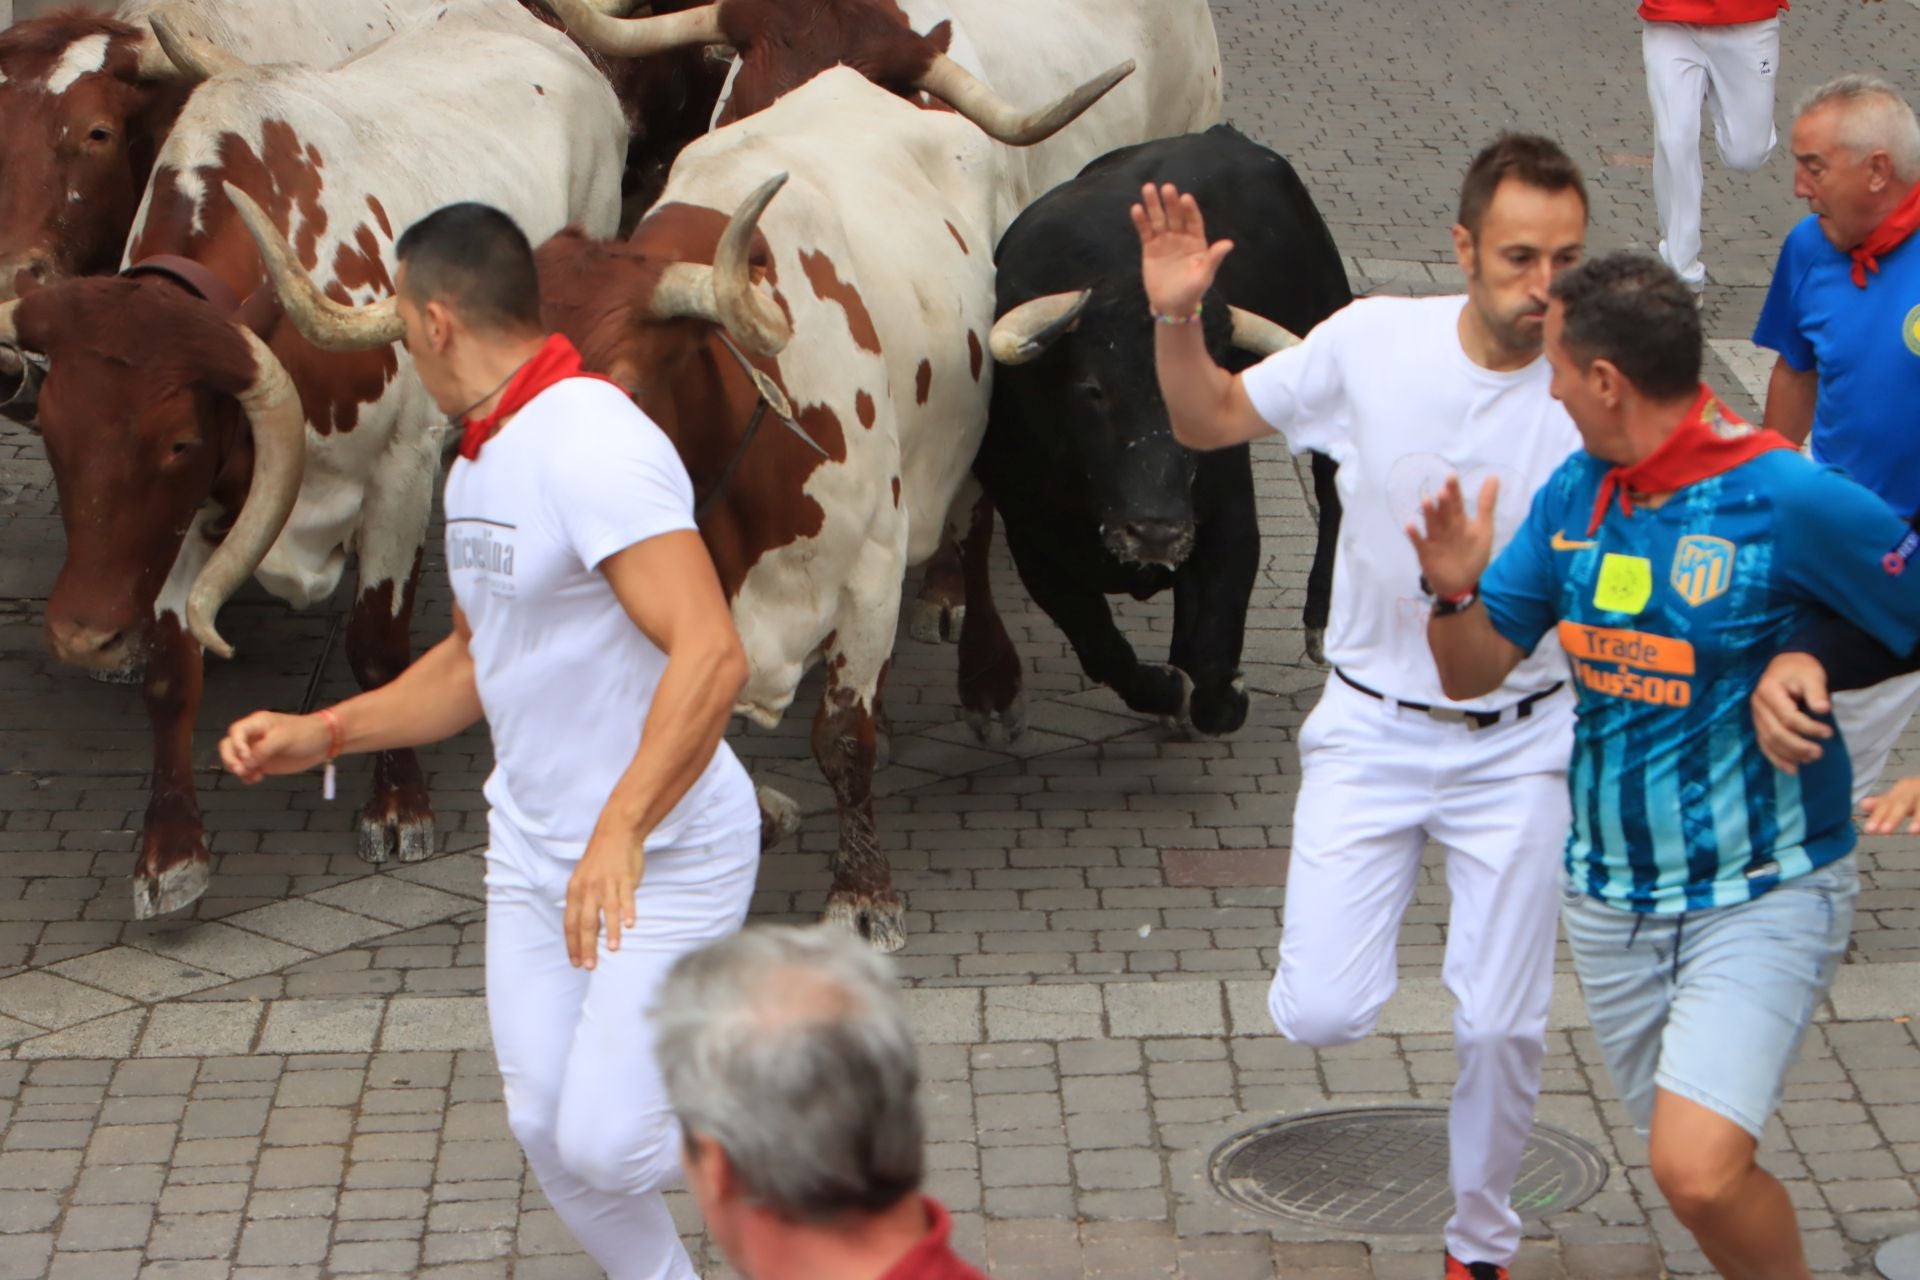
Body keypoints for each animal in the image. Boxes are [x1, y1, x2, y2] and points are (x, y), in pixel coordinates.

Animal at [0, 0, 622, 921]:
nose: (83, 635)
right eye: (52, 433)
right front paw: (171, 853)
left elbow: (377, 641)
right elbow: (175, 668)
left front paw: (398, 805)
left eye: (177, 441)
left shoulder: (402, 470)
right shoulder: (192, 515)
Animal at [960, 127, 1351, 740]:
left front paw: (1223, 694)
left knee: (1333, 487)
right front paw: (1168, 691)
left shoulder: (1229, 523)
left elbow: (1215, 657)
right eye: (1092, 389)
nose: (1155, 532)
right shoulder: (1035, 546)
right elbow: (1102, 647)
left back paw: (1321, 621)